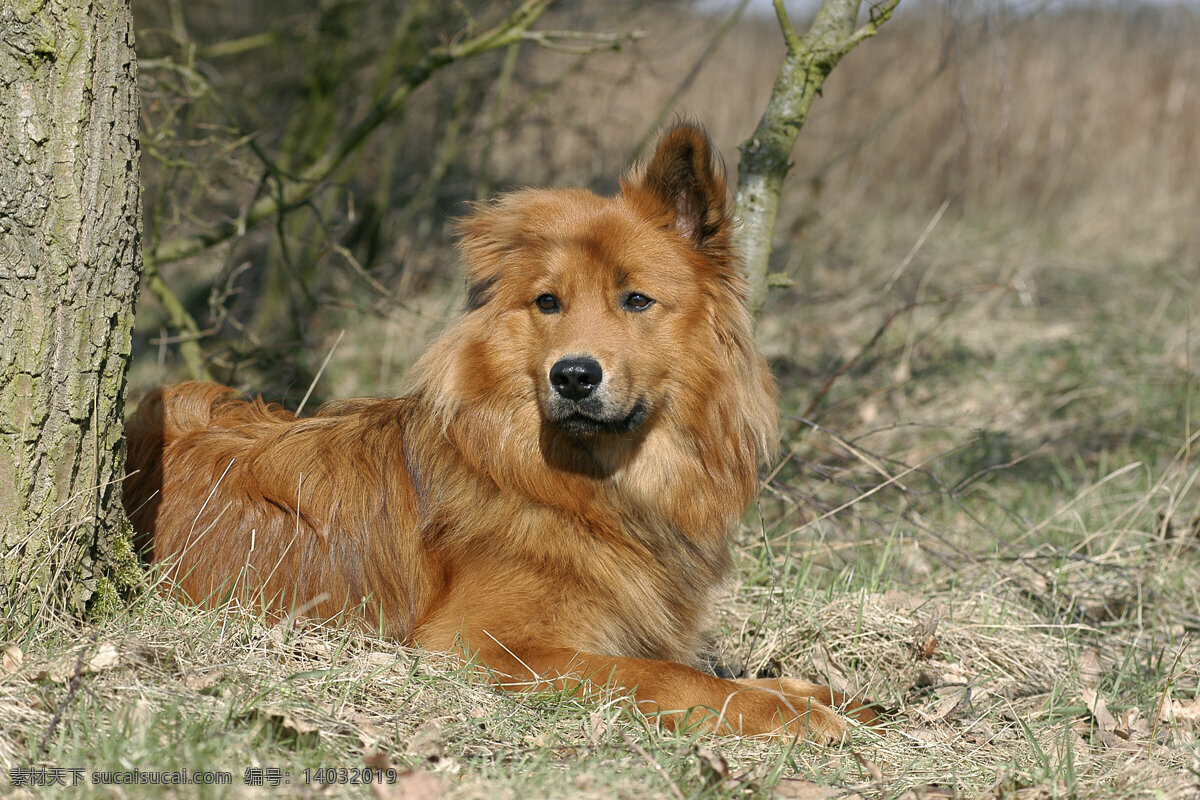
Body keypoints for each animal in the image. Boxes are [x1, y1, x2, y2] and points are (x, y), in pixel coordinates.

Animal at [124, 125, 873, 743]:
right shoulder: (480, 644)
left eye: (636, 299)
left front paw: (831, 694)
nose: (573, 376)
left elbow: (722, 669)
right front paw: (786, 712)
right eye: (548, 302)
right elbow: (666, 675)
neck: (596, 487)